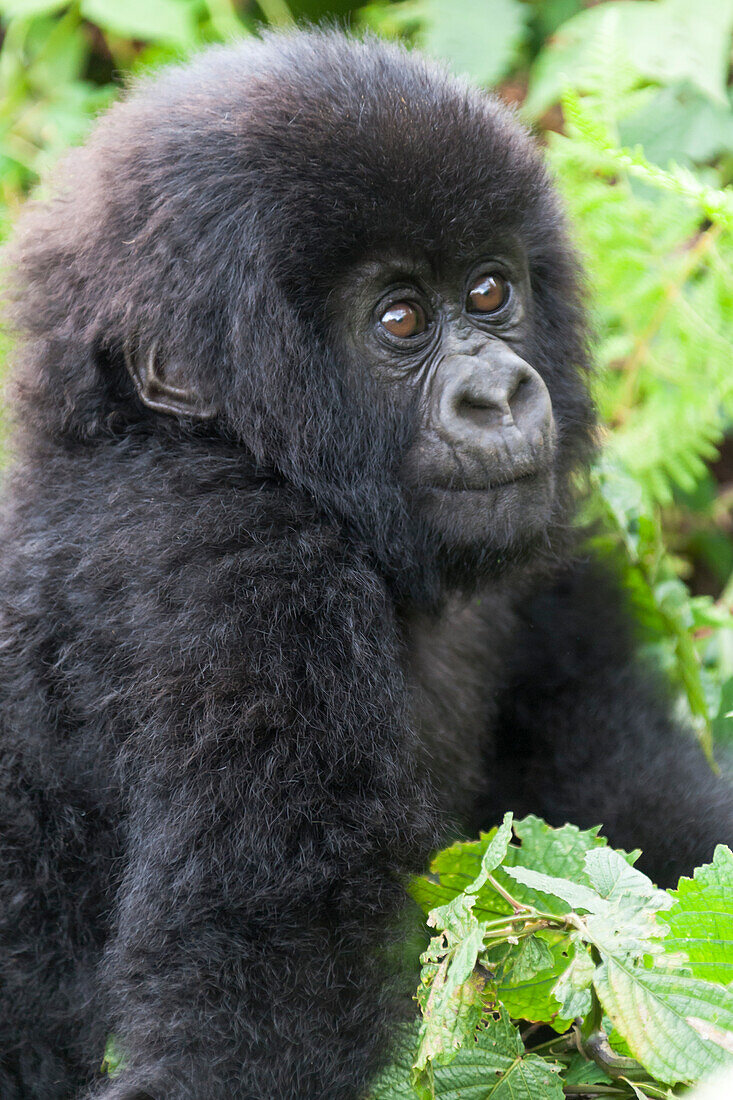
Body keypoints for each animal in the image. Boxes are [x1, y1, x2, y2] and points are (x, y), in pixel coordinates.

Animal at [1, 23, 730, 1100]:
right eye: (399, 321)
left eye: (488, 290)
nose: (499, 395)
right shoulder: (231, 572)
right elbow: (256, 998)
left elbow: (627, 818)